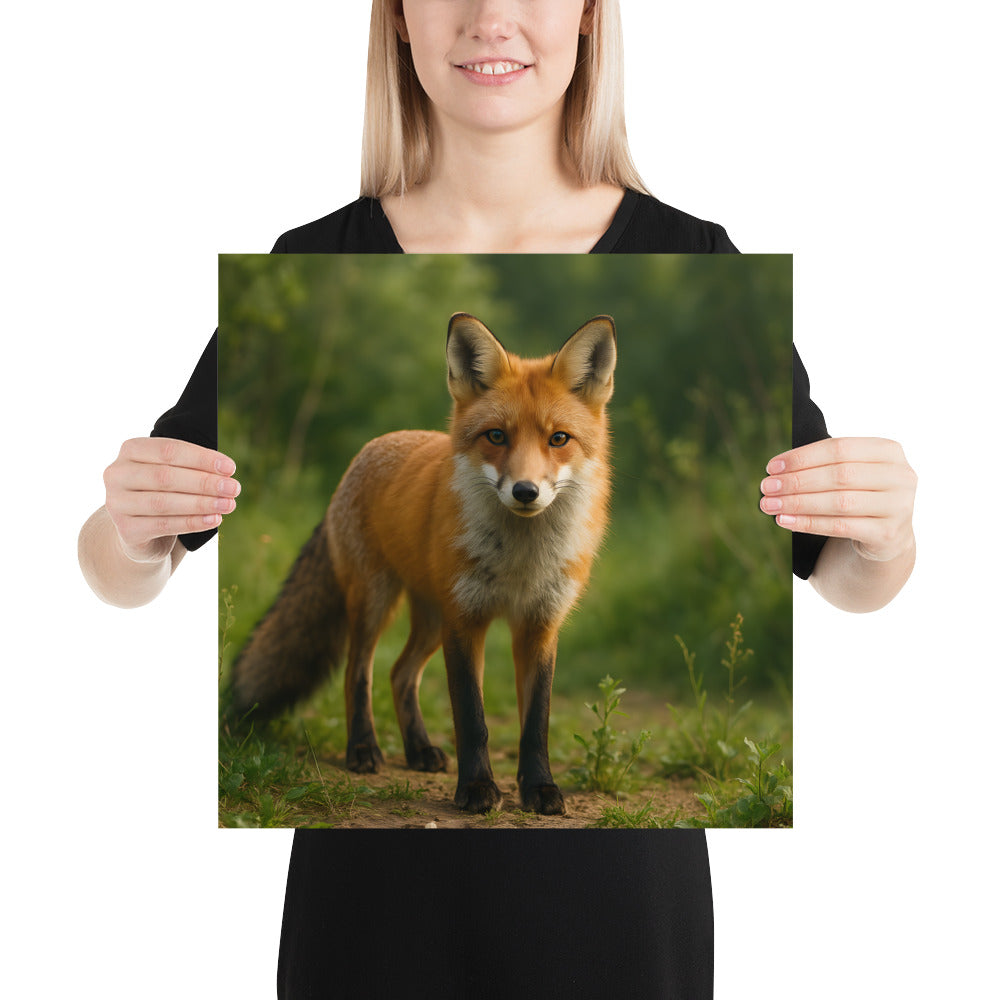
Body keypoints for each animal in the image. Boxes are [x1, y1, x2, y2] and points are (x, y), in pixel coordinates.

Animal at [231, 312, 616, 815]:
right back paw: (363, 749)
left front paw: (540, 789)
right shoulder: (465, 621)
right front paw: (476, 789)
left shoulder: (539, 625)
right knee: (359, 673)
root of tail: (372, 448)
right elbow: (472, 718)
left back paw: (418, 750)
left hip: (432, 618)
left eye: (559, 439)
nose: (525, 491)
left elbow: (536, 724)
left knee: (400, 673)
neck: (520, 561)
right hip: (376, 602)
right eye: (496, 436)